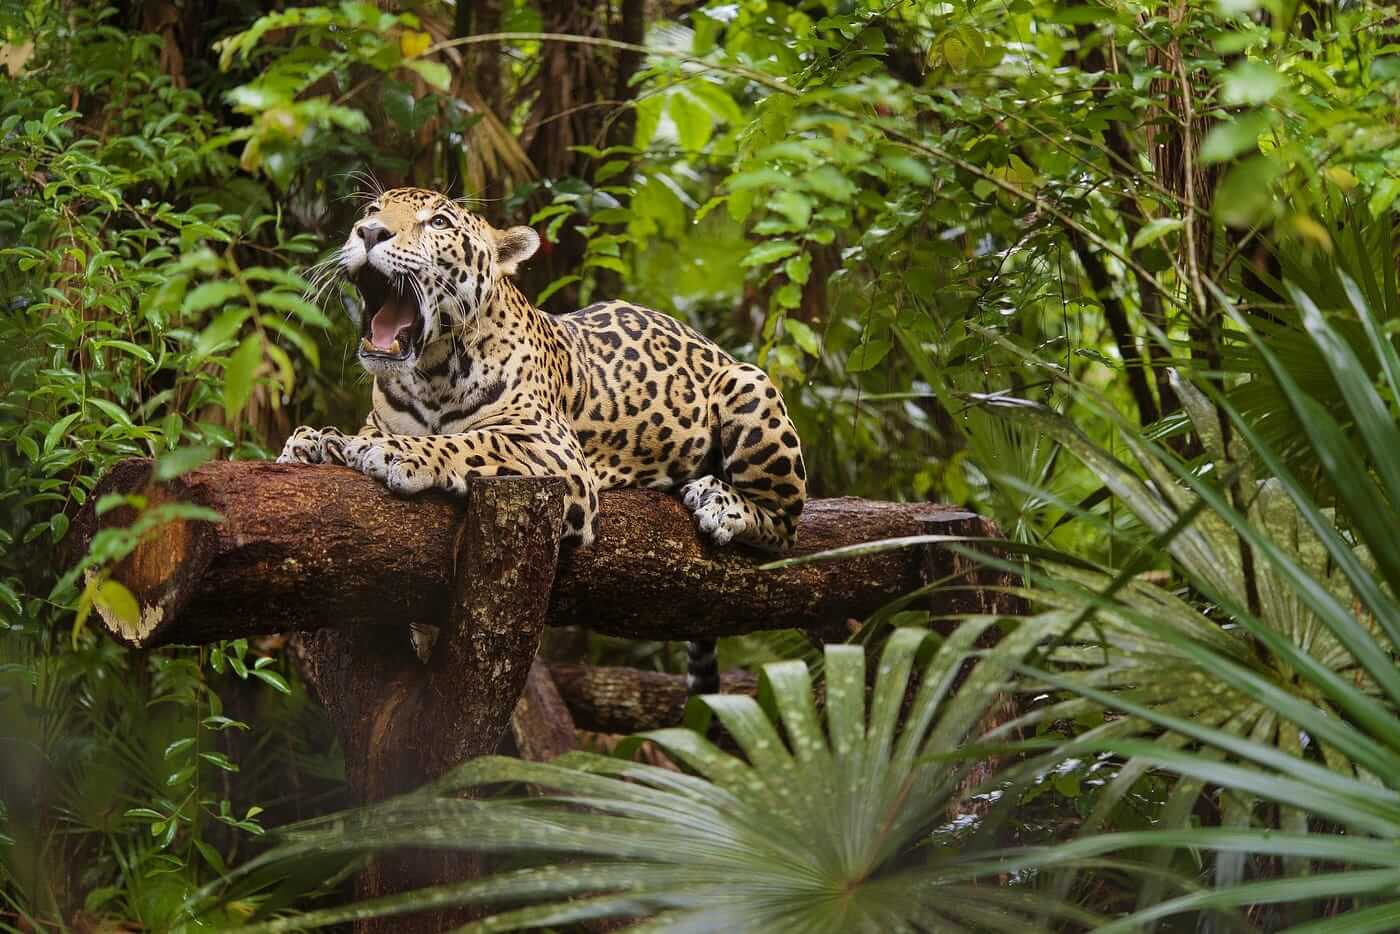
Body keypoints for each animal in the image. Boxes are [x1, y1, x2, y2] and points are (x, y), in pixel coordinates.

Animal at [277, 187, 807, 692]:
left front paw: (398, 454)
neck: (429, 371)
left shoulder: (551, 450)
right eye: (372, 209)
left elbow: (471, 443)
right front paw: (314, 441)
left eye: (439, 222)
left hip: (749, 385)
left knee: (785, 526)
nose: (369, 233)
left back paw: (720, 501)